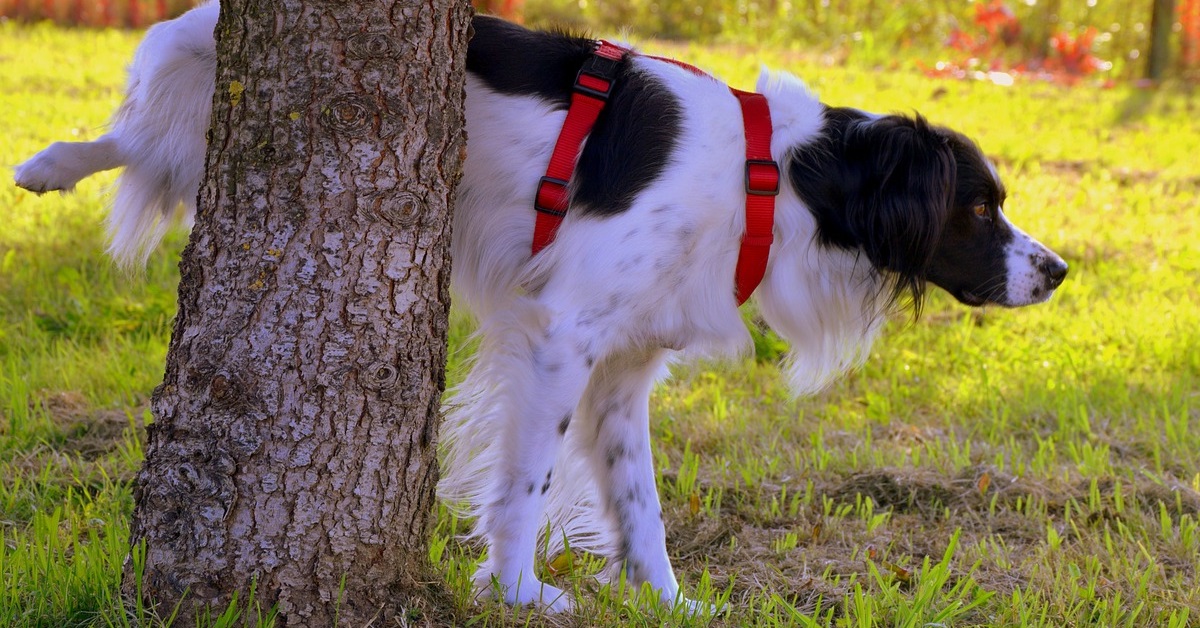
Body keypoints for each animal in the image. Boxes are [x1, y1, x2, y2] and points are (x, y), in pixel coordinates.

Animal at [14, 3, 1070, 614]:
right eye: (980, 209)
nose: (1058, 272)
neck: (772, 179)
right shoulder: (562, 339)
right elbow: (524, 485)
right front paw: (518, 589)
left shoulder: (623, 371)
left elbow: (639, 506)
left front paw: (667, 603)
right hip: (193, 88)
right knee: (129, 134)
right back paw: (47, 165)